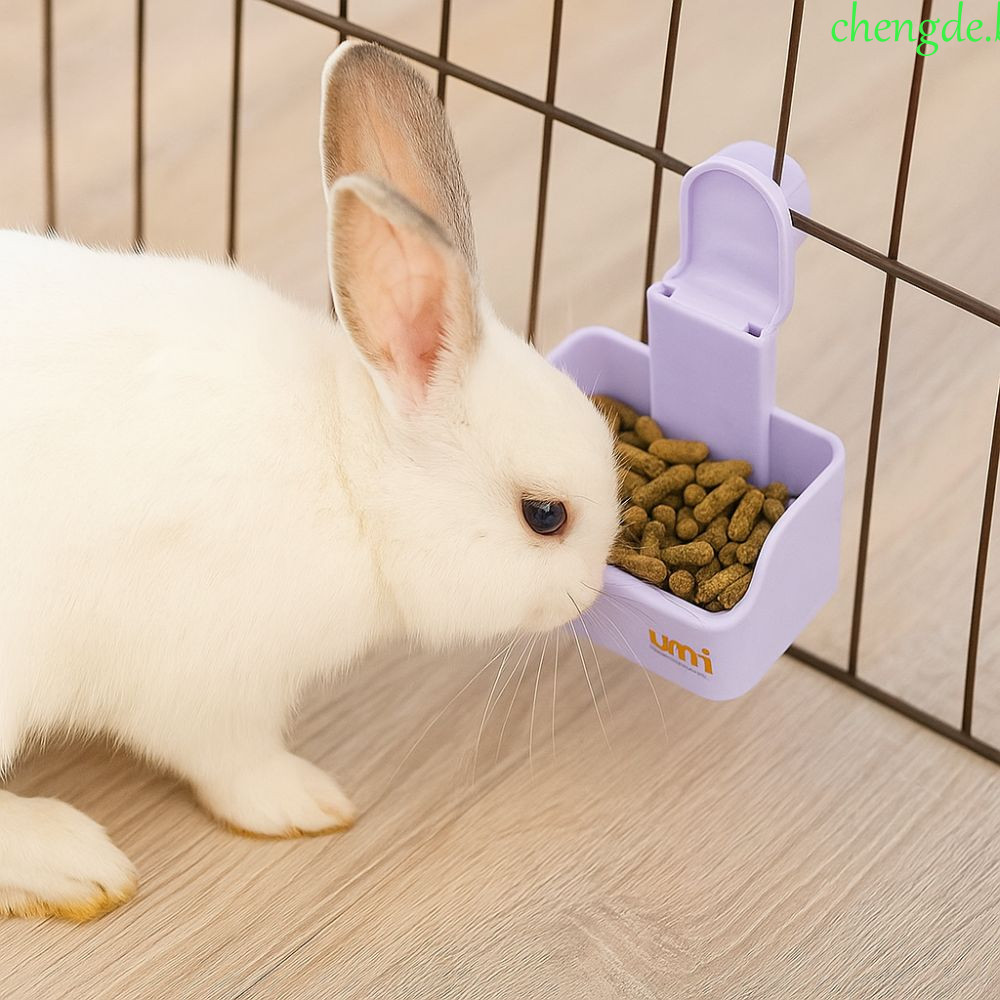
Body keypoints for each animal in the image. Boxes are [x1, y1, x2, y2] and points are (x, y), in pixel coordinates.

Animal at [0, 41, 620, 921]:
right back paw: (74, 864)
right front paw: (305, 802)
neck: (350, 470)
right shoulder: (207, 680)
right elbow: (229, 758)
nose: (593, 591)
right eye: (544, 515)